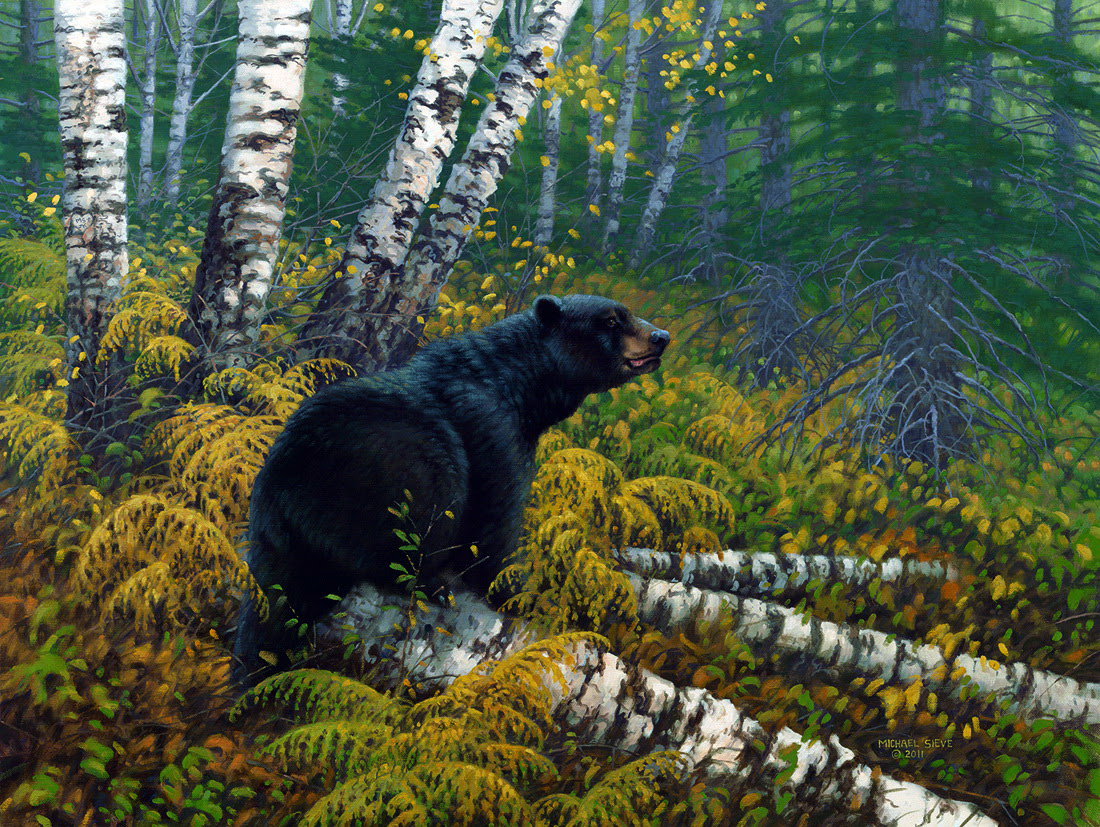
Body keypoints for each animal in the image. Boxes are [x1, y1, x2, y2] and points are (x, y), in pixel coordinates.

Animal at [234, 294, 668, 681]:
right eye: (611, 320)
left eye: (626, 313)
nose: (661, 335)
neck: (518, 385)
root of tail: (278, 491)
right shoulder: (492, 426)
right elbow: (494, 520)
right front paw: (522, 593)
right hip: (389, 477)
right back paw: (431, 583)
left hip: (281, 541)